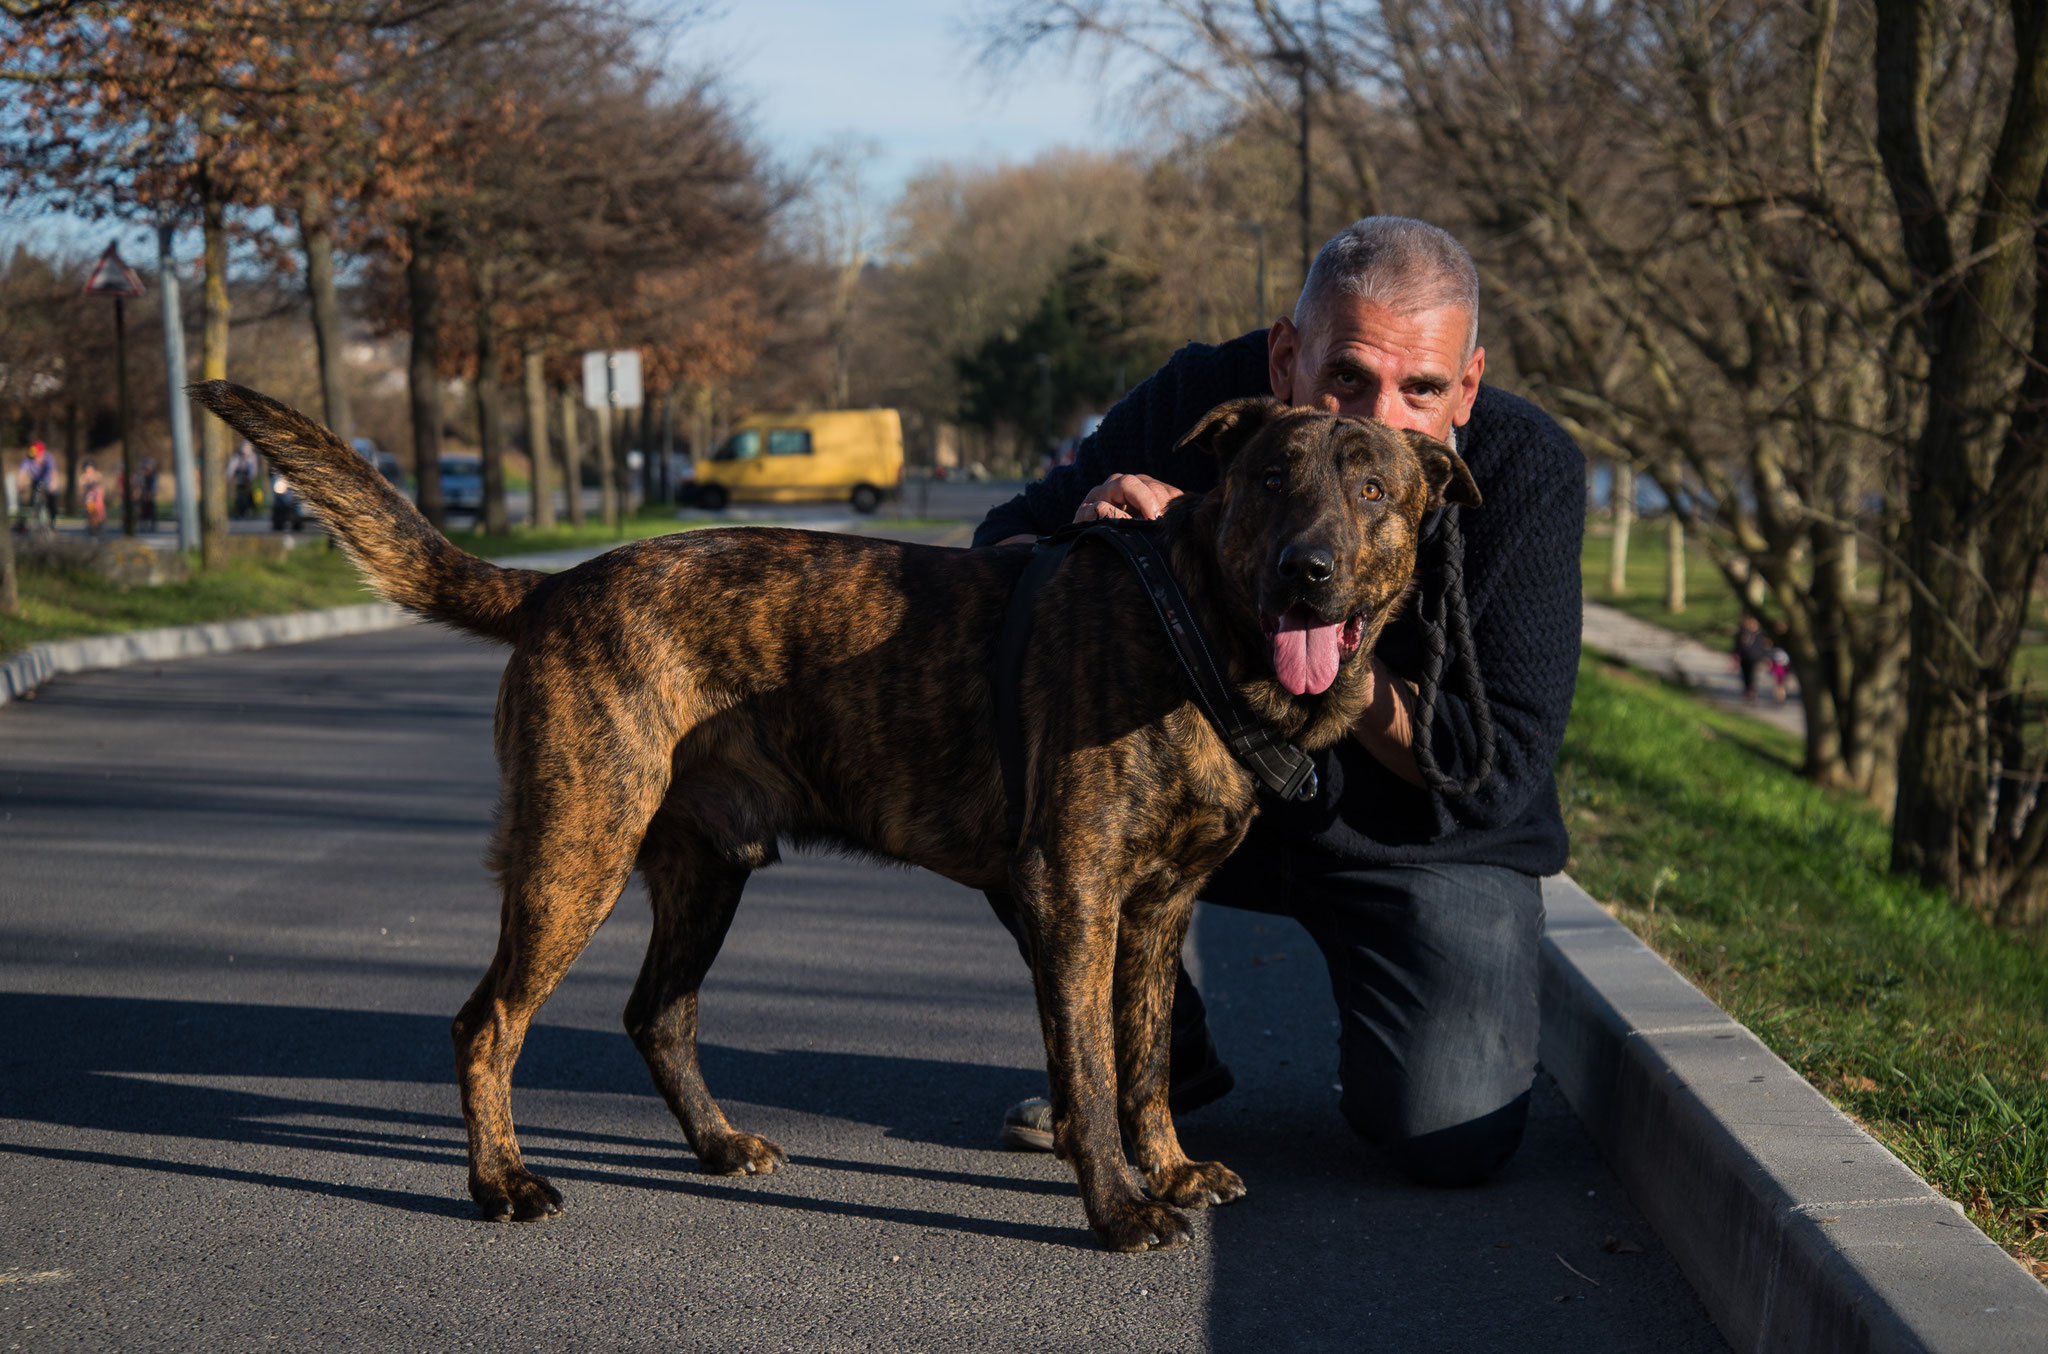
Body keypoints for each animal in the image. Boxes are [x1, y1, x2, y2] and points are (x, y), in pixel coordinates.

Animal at [188, 376, 1474, 1245]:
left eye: (1371, 490)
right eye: (1268, 481)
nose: (1307, 569)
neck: (1196, 631)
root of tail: (556, 585)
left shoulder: (1156, 913)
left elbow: (1145, 1056)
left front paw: (1168, 1166)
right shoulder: (1072, 898)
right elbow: (1089, 1067)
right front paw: (1115, 1206)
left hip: (704, 870)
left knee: (656, 1014)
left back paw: (713, 1144)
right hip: (576, 851)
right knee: (486, 1021)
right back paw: (499, 1182)